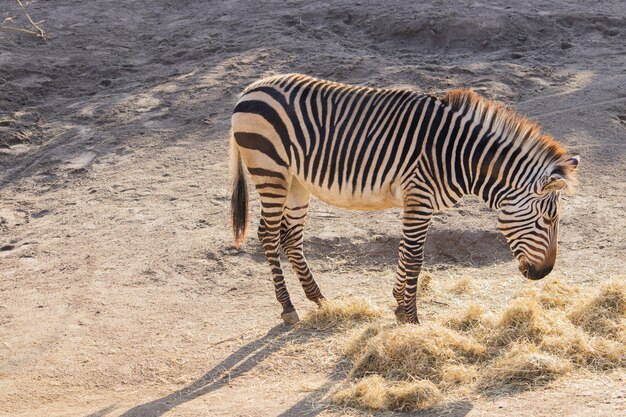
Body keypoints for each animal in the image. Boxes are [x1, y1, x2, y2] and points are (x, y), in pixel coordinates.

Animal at [227, 73, 576, 324]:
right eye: (549, 218)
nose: (544, 273)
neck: (459, 155)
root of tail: (250, 89)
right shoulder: (419, 196)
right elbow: (414, 256)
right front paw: (410, 316)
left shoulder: (416, 201)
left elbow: (405, 252)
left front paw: (398, 303)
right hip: (270, 171)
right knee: (268, 234)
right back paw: (288, 307)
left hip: (296, 182)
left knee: (290, 237)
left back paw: (318, 298)